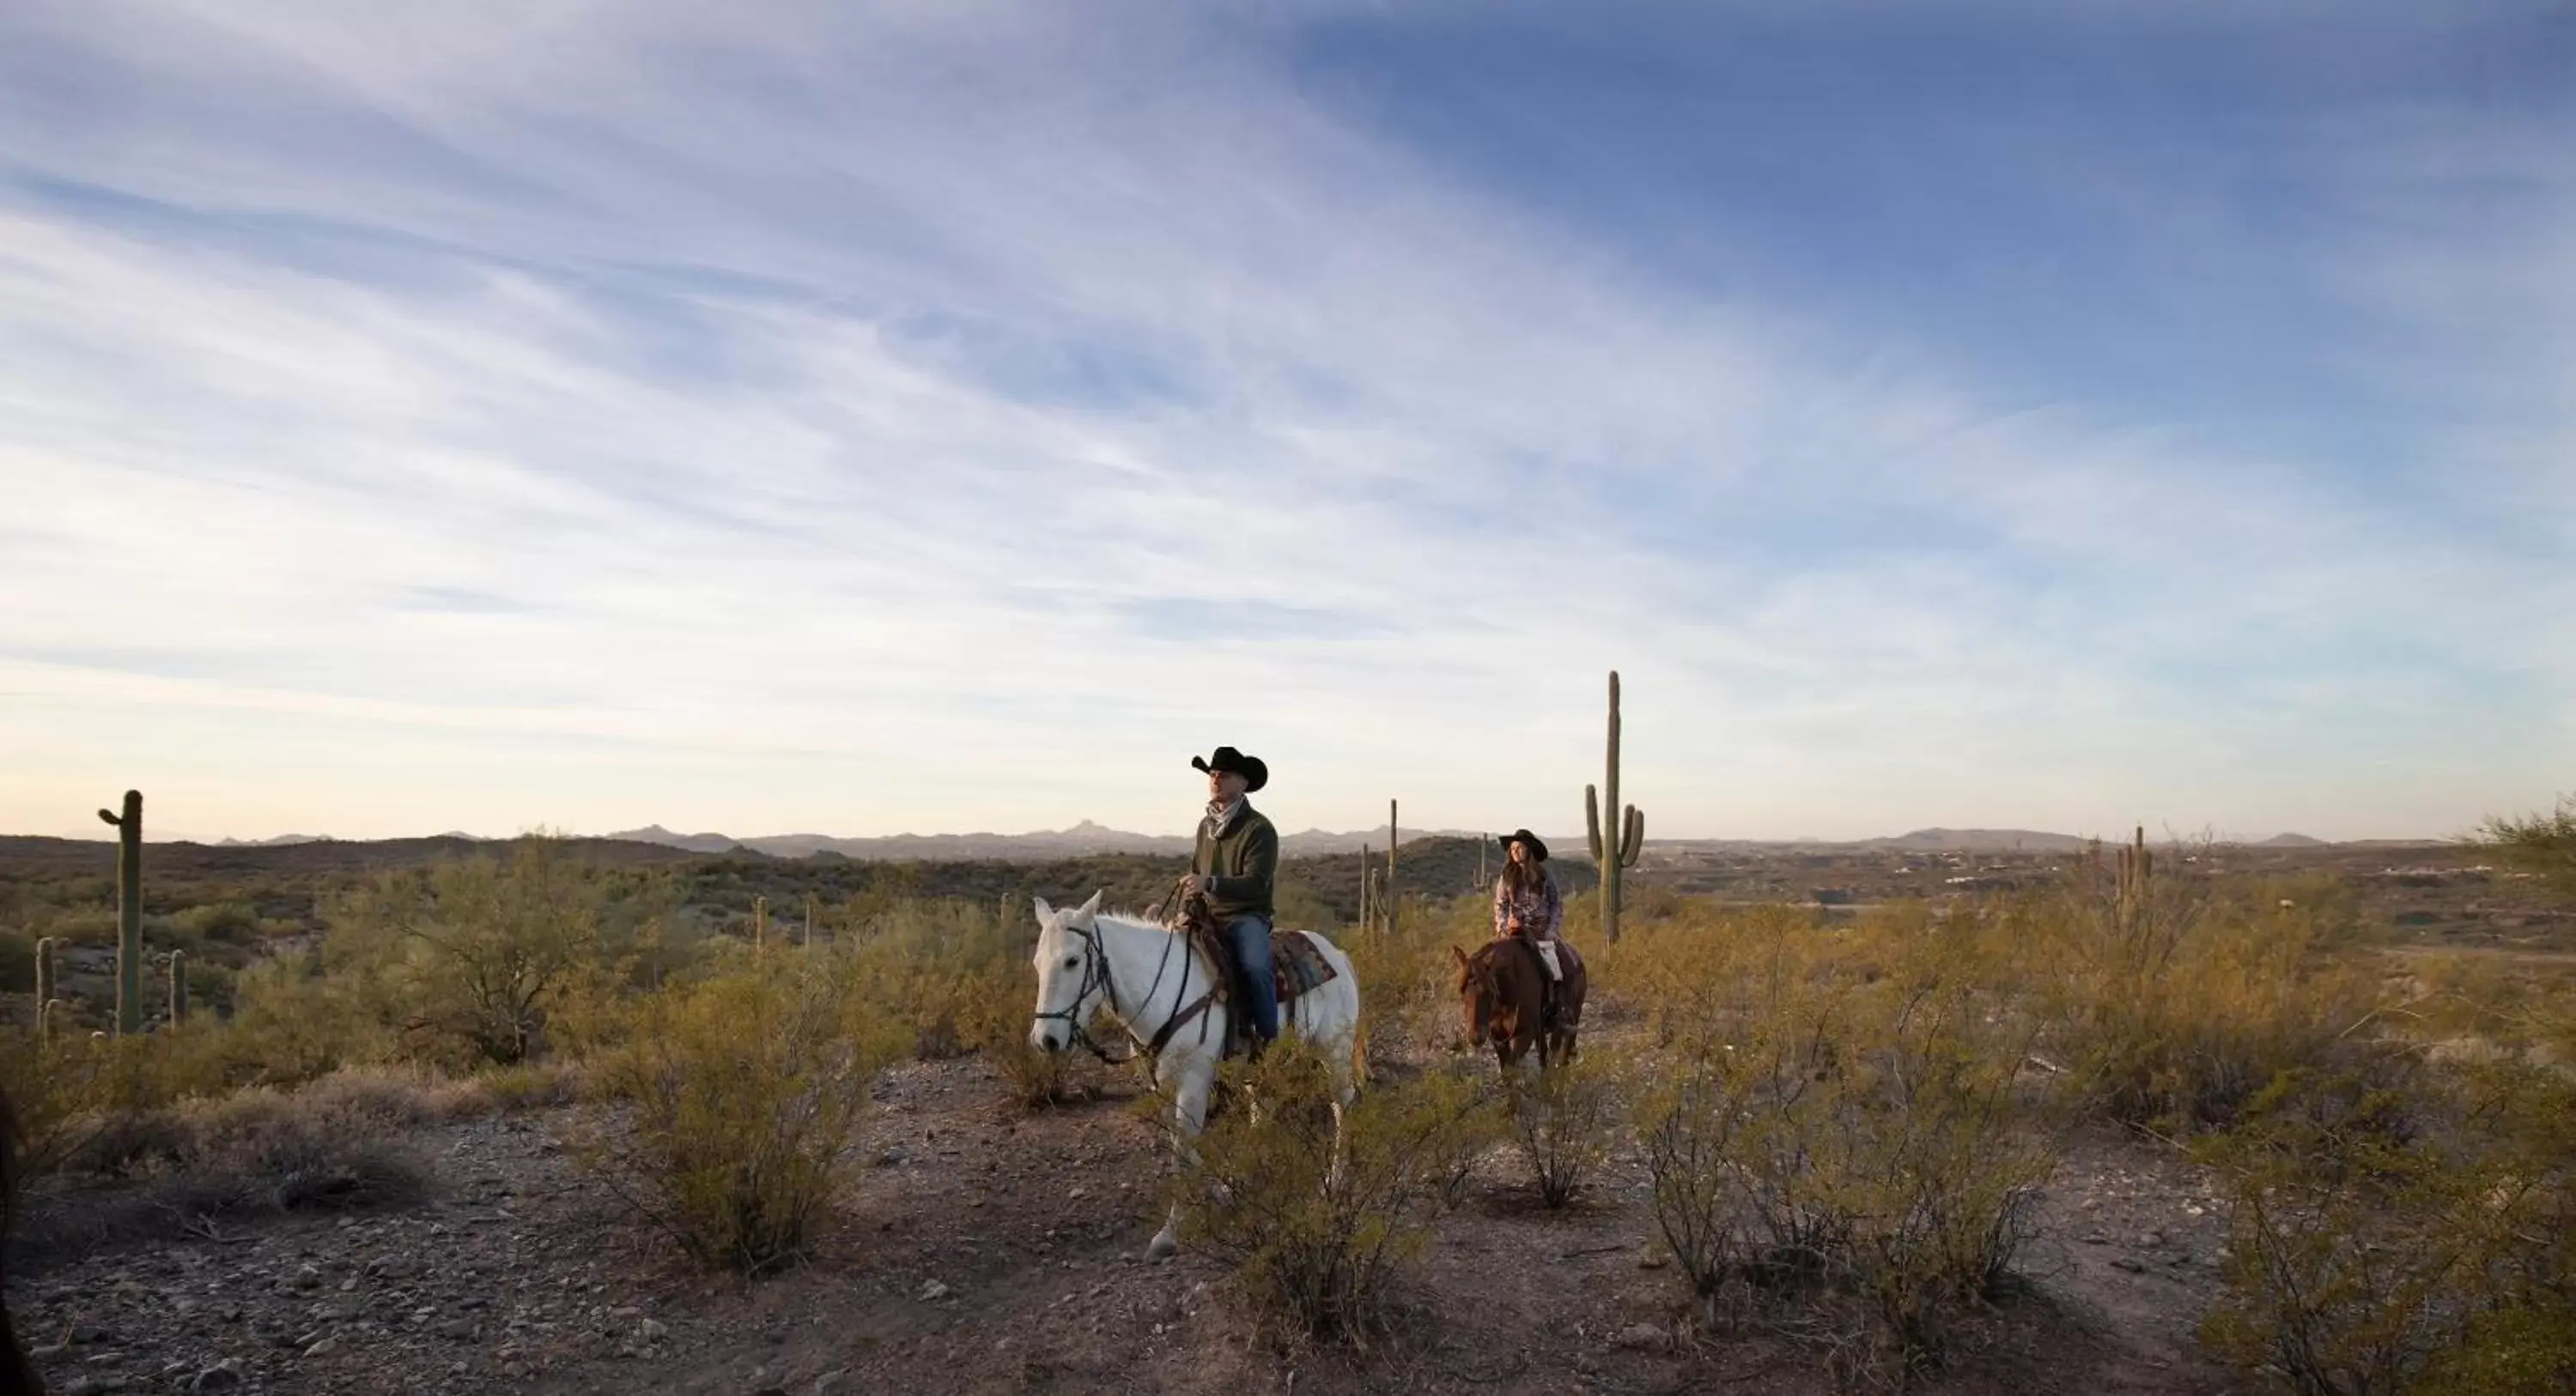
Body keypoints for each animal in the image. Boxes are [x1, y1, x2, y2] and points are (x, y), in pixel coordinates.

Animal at [1025, 896, 1370, 1267]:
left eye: (1072, 961)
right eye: (1037, 963)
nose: (1046, 1040)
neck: (1162, 988)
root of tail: (1336, 954)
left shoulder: (1194, 1082)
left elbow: (1182, 1151)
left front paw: (1170, 1233)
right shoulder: (1161, 1085)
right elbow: (1181, 1148)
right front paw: (1212, 1190)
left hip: (1334, 1050)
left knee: (1342, 1106)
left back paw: (1335, 1180)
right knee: (1263, 1110)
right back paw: (1241, 1180)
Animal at [1463, 943, 1577, 1071]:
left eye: (1489, 993)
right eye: (1463, 993)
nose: (1476, 1037)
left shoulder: (1524, 1034)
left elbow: (1512, 1066)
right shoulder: (1498, 1037)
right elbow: (1506, 1067)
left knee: (1562, 1045)